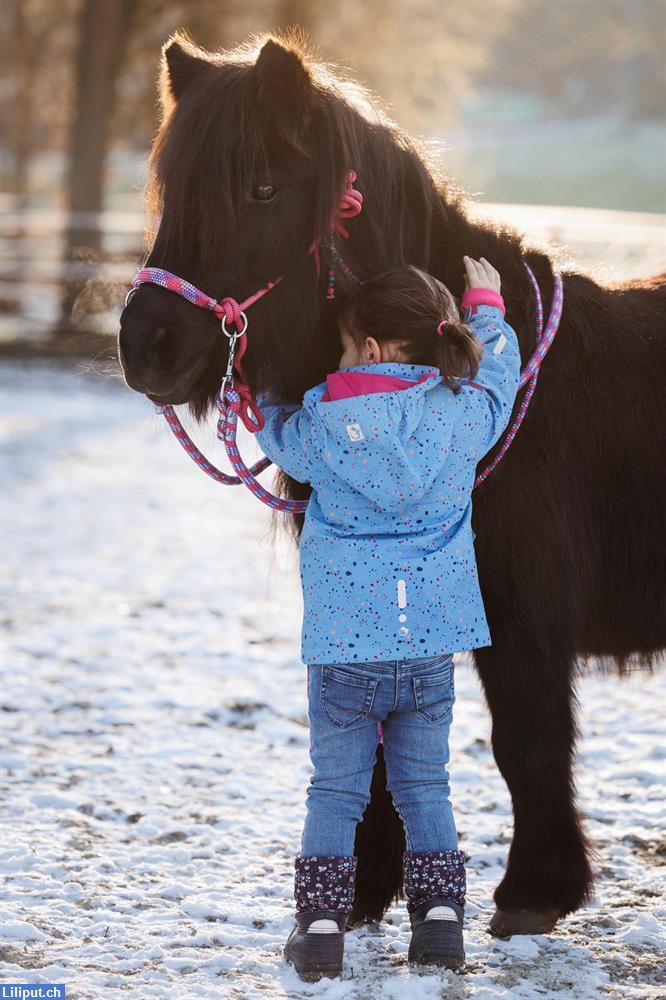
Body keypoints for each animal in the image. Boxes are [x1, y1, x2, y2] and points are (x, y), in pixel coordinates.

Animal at [120, 31, 664, 936]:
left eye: (261, 188)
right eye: (173, 191)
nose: (145, 345)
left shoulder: (523, 620)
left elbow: (528, 739)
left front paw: (535, 892)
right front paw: (368, 887)